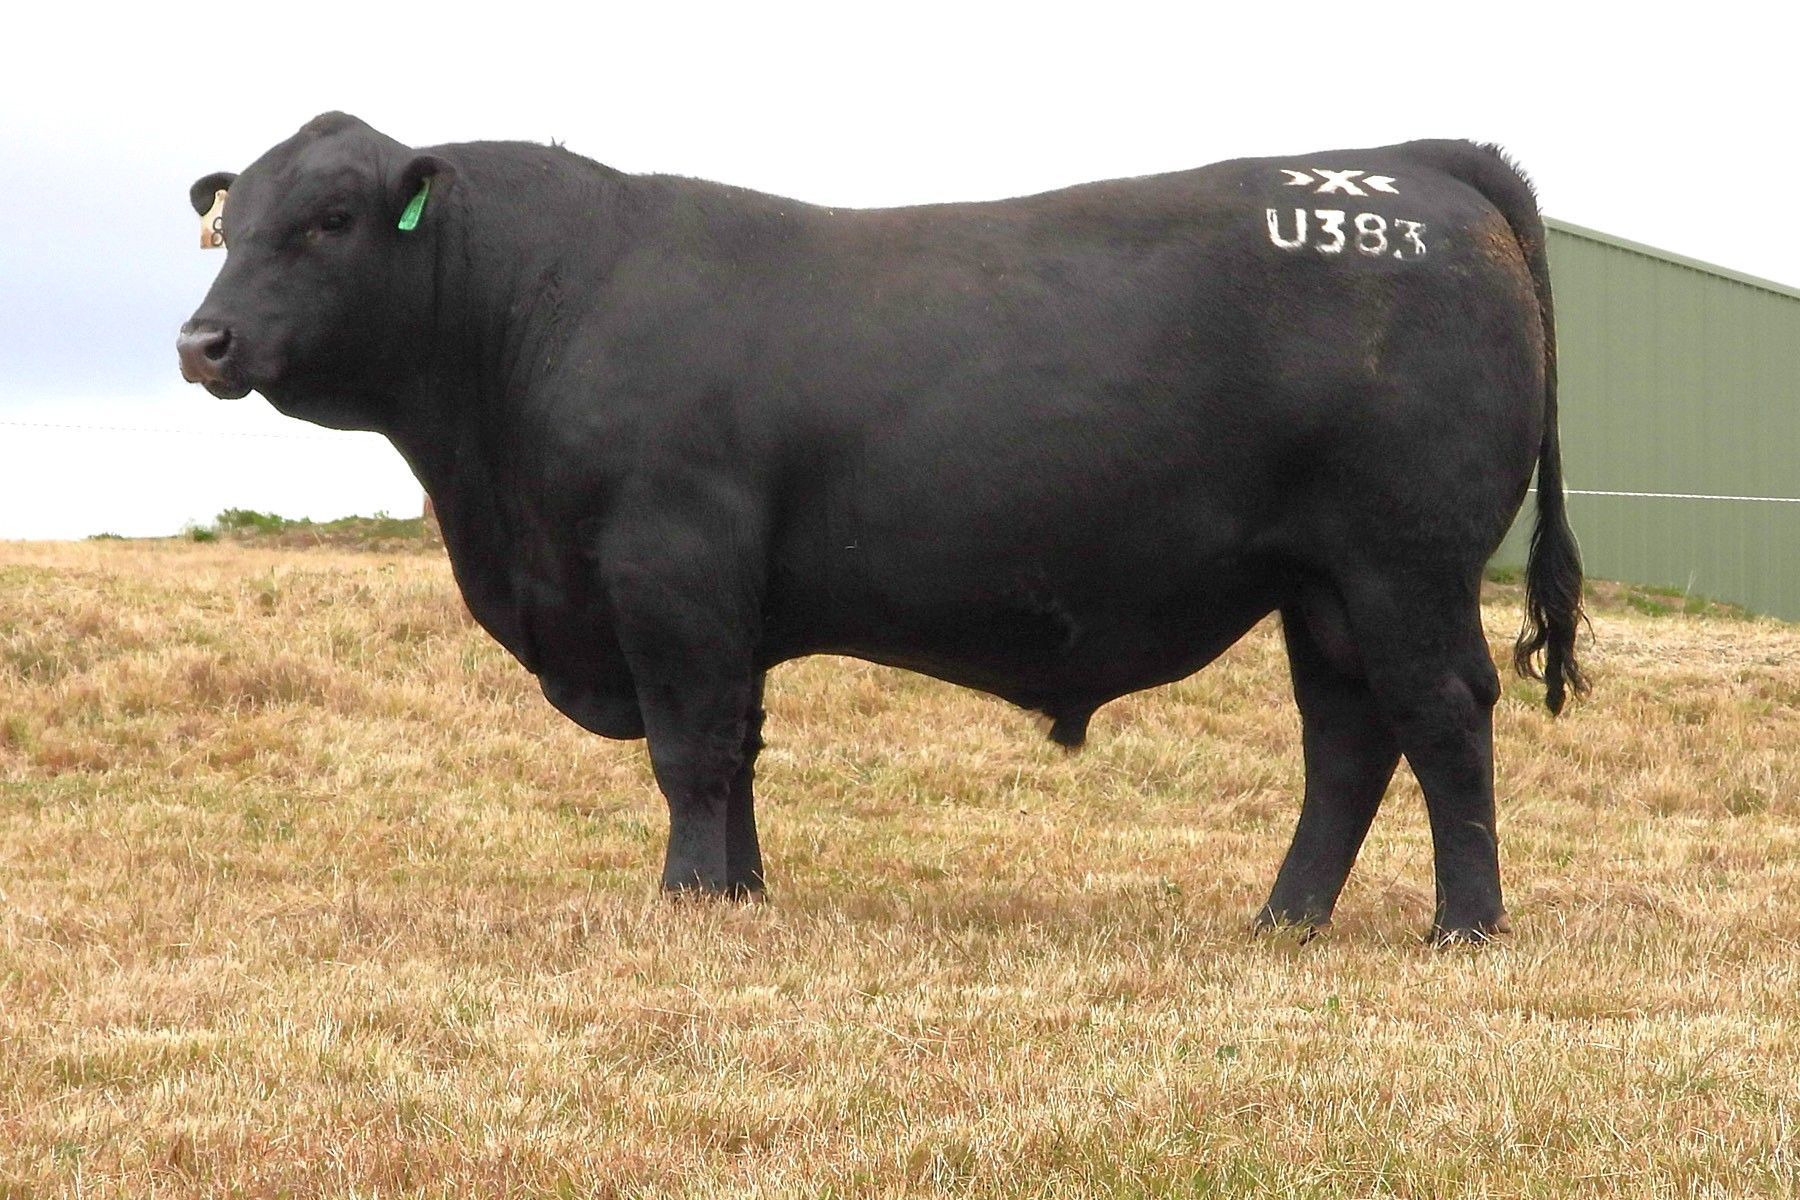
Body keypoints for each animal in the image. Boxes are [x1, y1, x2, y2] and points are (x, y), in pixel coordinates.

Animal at [178, 113, 1585, 943]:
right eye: (225, 225)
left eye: (328, 220)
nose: (203, 340)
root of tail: (1414, 160)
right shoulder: (722, 602)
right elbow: (740, 750)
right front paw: (741, 891)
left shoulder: (670, 572)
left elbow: (690, 749)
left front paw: (687, 900)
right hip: (1322, 584)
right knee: (1347, 739)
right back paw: (1284, 919)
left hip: (1403, 561)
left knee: (1442, 719)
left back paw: (1466, 926)